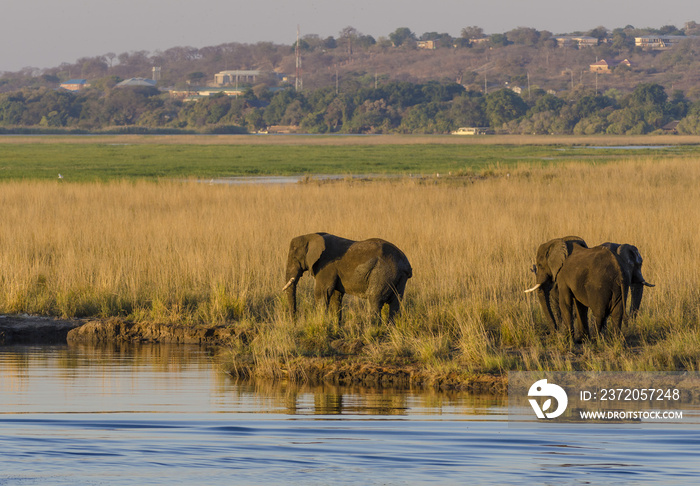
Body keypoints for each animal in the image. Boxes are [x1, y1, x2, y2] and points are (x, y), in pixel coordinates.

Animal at [280, 234, 410, 324]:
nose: (294, 324)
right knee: (395, 302)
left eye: (294, 258)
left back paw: (372, 329)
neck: (312, 236)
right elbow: (335, 296)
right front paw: (336, 327)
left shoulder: (326, 266)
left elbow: (321, 293)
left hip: (383, 273)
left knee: (374, 299)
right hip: (399, 277)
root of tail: (405, 263)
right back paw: (390, 329)